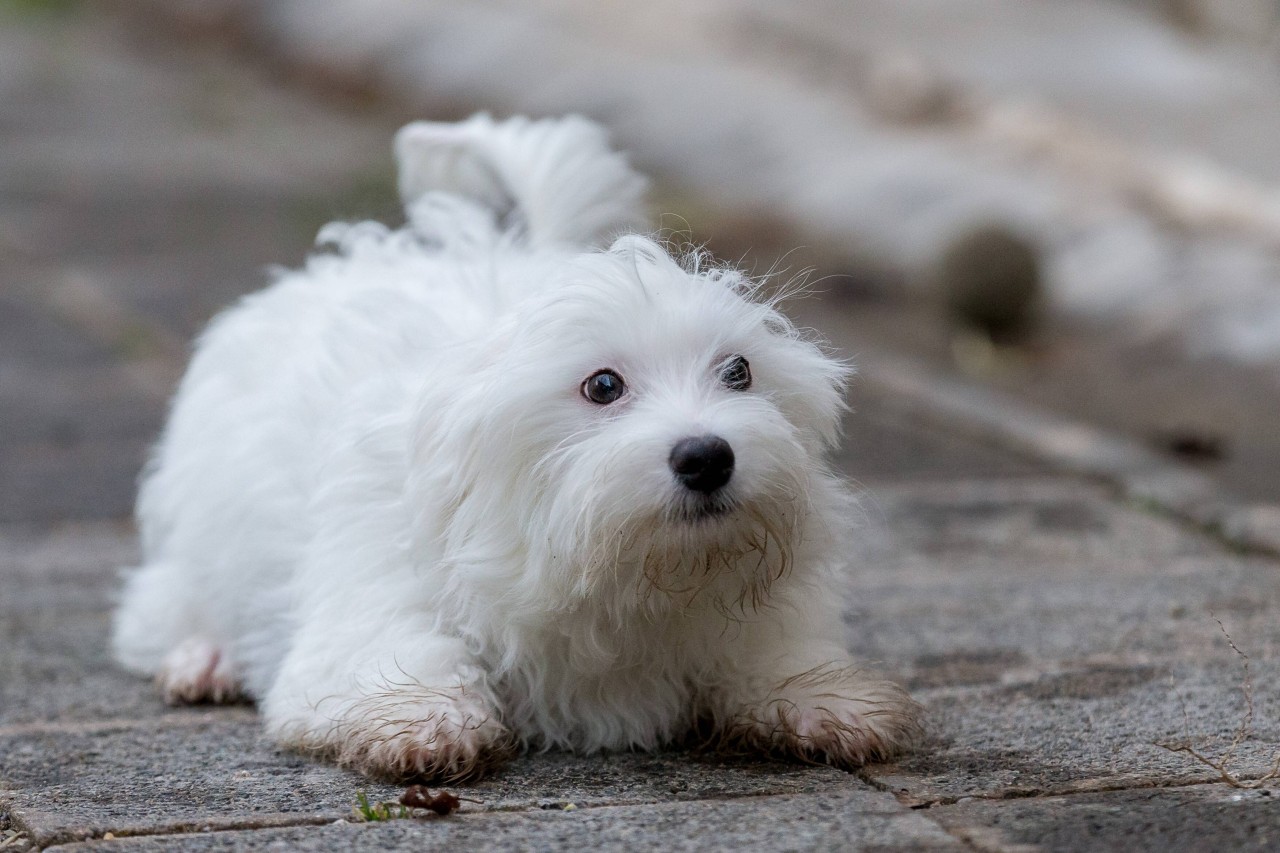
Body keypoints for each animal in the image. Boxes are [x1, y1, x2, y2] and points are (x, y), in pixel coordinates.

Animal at [112, 116, 921, 778]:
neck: (609, 569)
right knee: (167, 602)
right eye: (603, 385)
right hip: (201, 527)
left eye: (739, 372)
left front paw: (818, 698)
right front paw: (423, 717)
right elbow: (396, 648)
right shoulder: (376, 575)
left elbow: (772, 651)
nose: (708, 457)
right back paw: (205, 655)